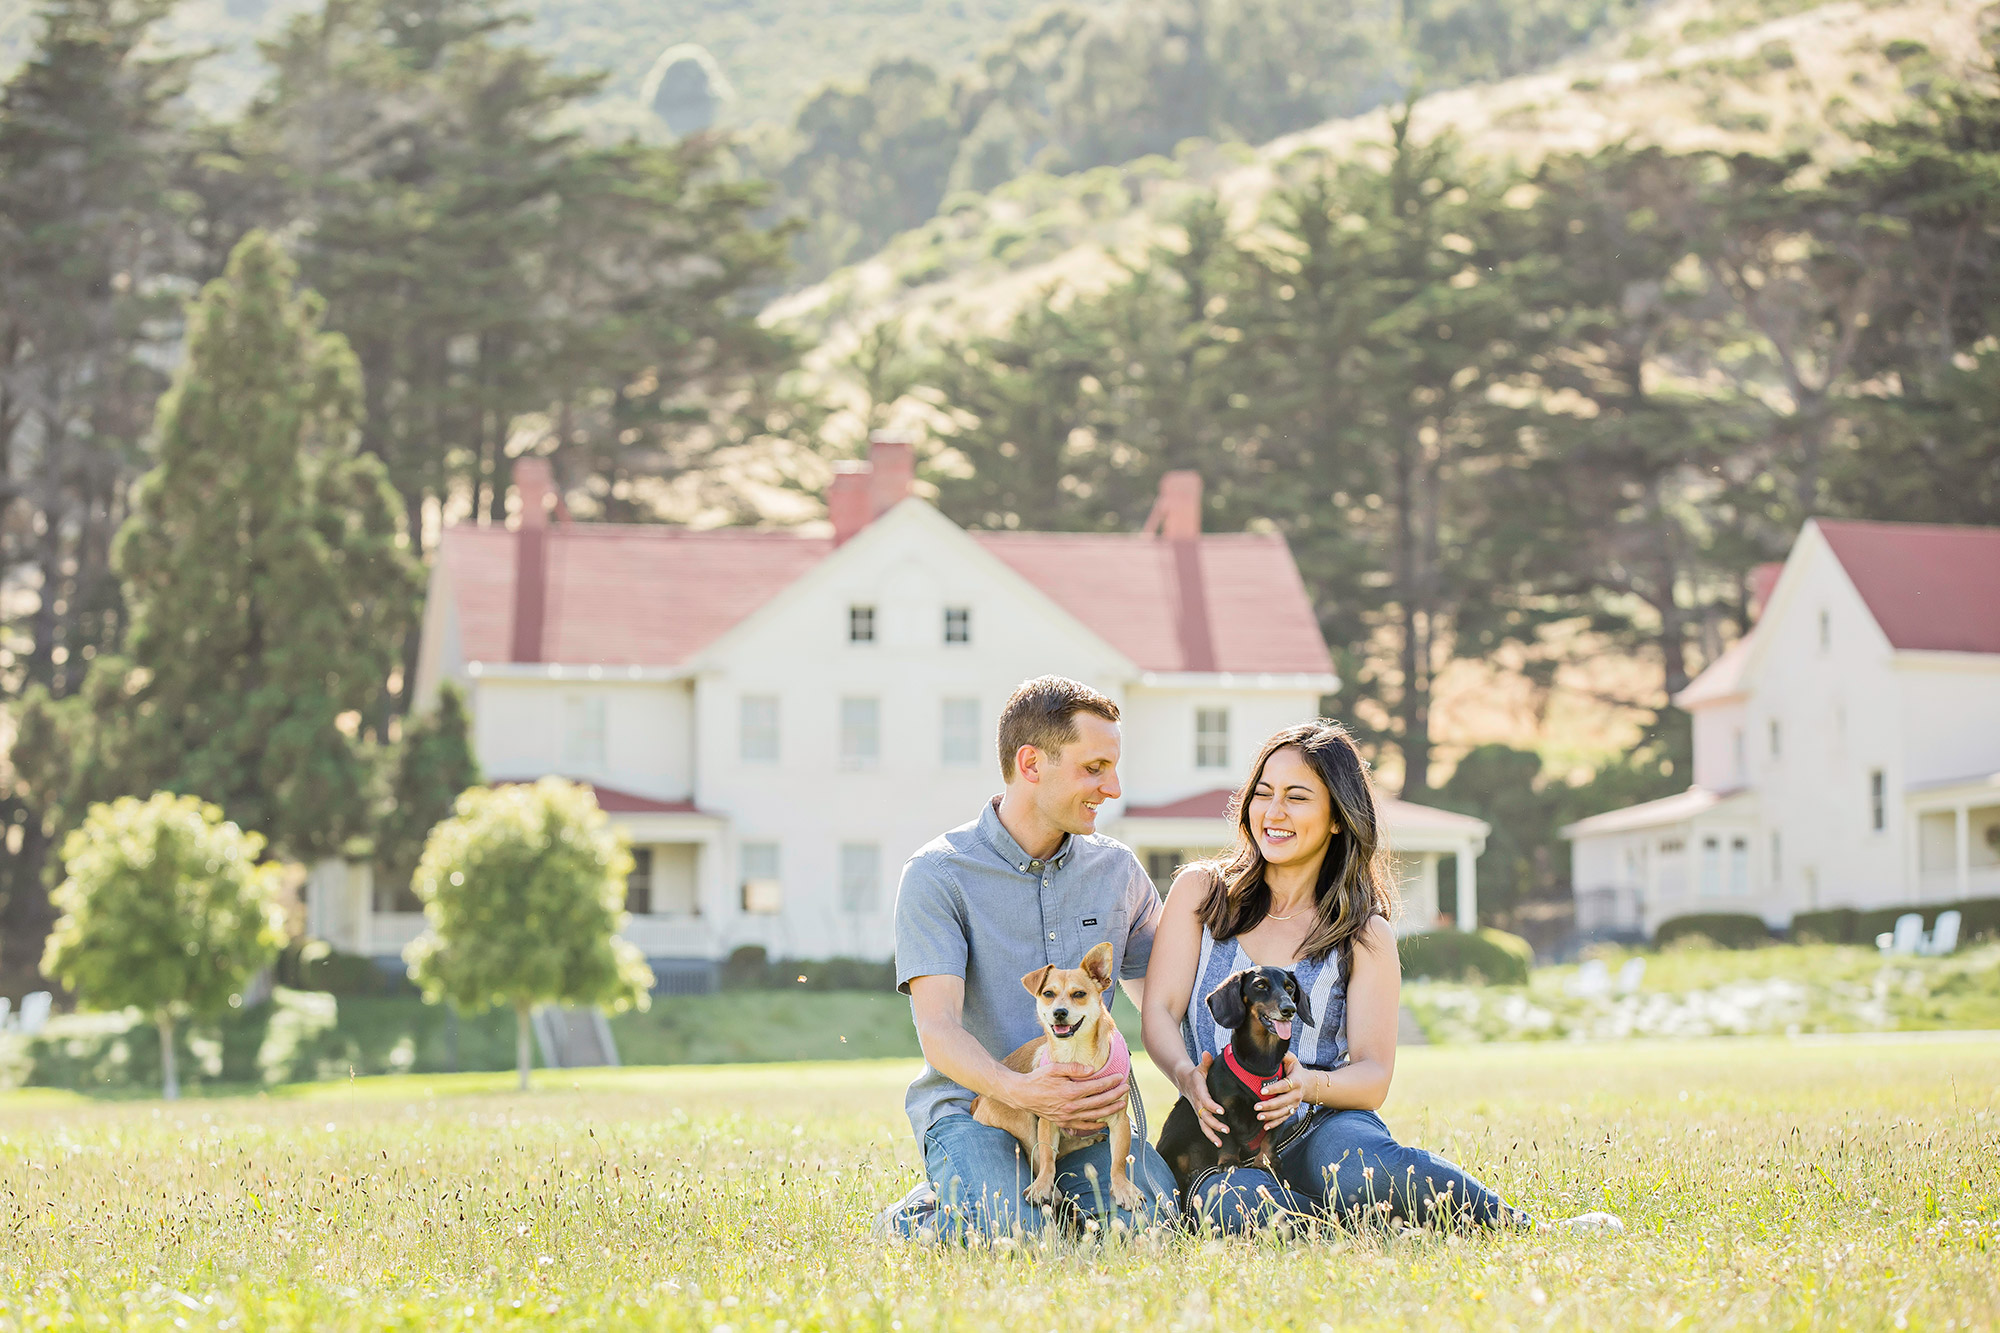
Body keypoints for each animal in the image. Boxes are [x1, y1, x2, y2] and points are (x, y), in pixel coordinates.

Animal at [968, 940, 1144, 1208]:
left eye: (1079, 994)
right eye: (1048, 994)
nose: (1059, 1012)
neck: (1076, 1053)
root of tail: (978, 1100)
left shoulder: (1118, 1120)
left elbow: (1119, 1160)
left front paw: (1124, 1188)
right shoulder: (1048, 1119)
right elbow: (1047, 1158)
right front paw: (1043, 1186)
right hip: (1024, 1120)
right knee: (1039, 1157)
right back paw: (1052, 1188)